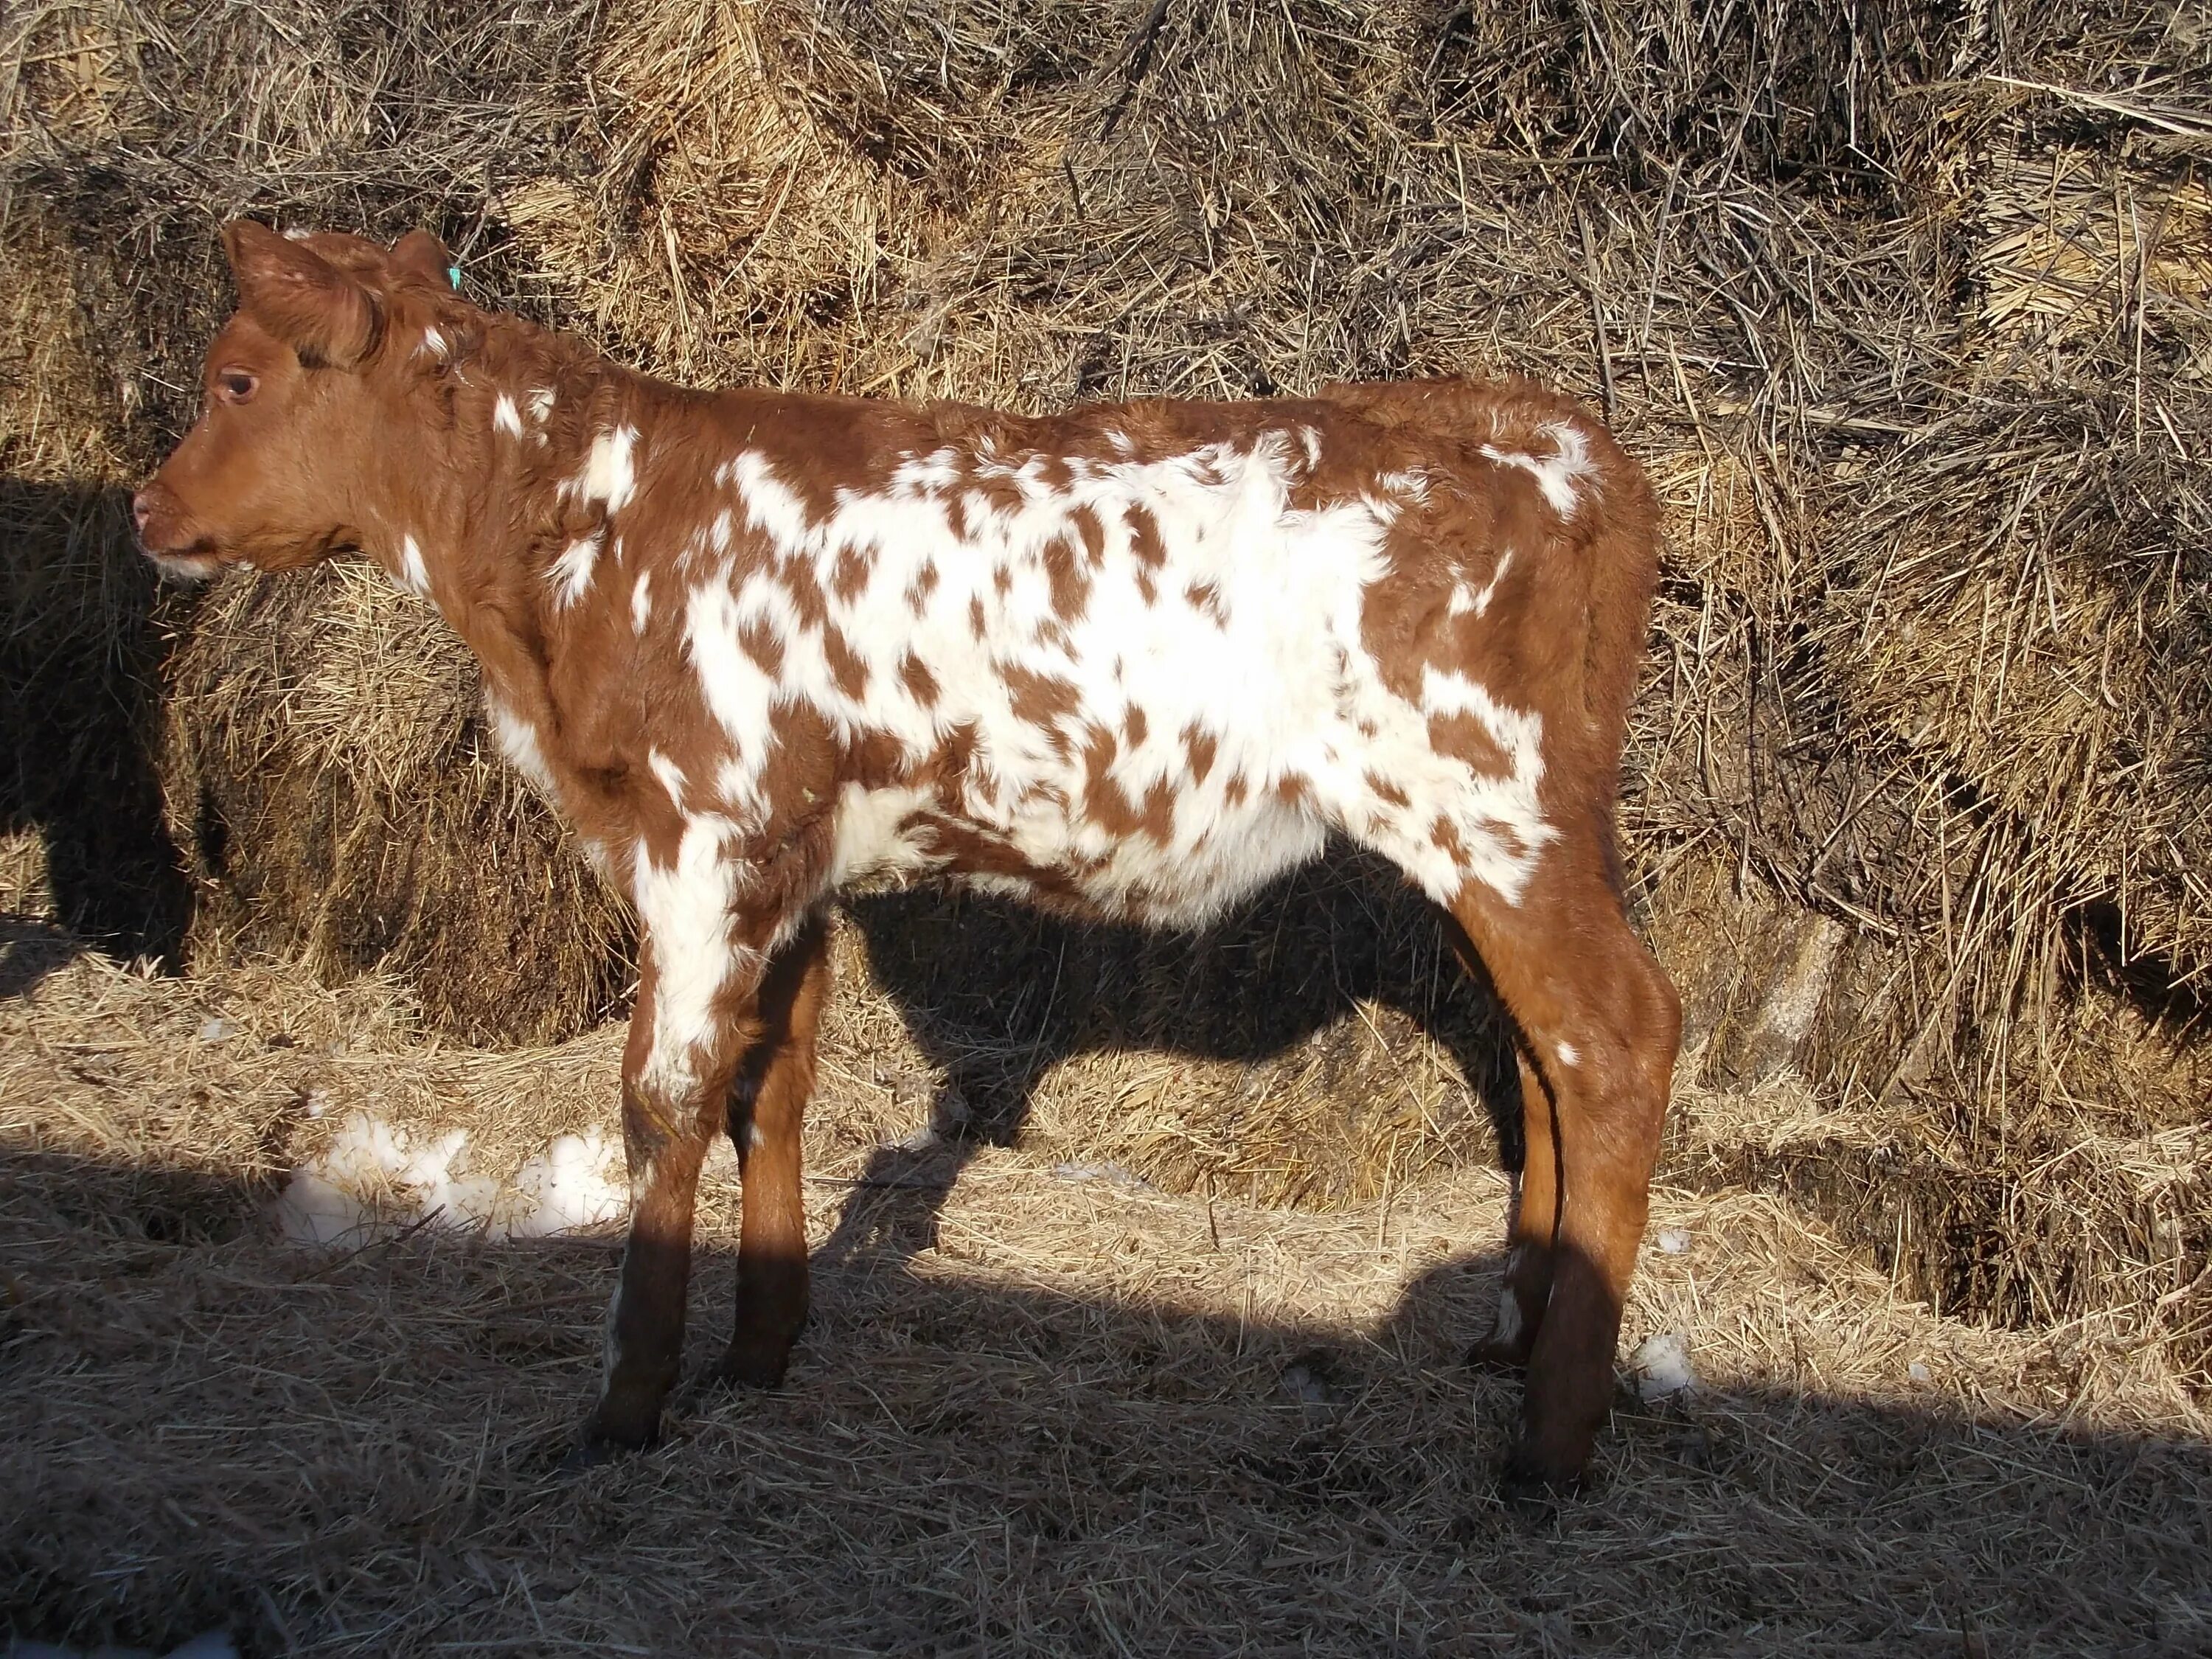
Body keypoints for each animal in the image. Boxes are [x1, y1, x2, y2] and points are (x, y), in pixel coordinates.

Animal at [133, 221, 1672, 1495]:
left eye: (235, 382)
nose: (147, 509)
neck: (584, 543)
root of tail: (1541, 425)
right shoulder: (787, 860)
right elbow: (774, 1087)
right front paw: (760, 1353)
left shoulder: (701, 839)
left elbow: (664, 1102)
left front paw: (625, 1407)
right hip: (1507, 834)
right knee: (1539, 1057)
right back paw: (1508, 1339)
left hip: (1487, 806)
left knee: (1614, 1038)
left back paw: (1552, 1444)